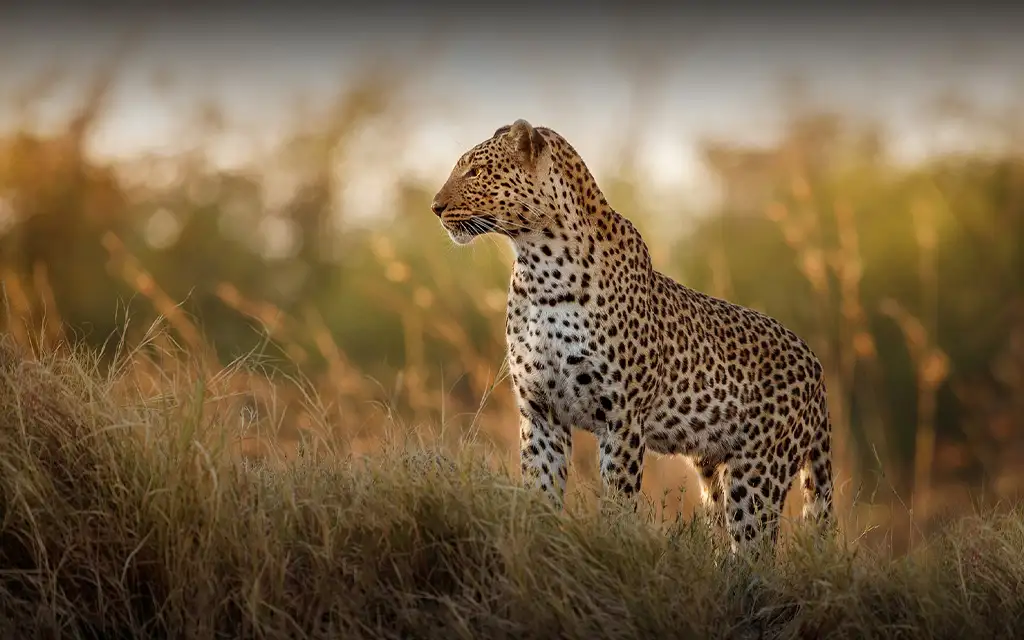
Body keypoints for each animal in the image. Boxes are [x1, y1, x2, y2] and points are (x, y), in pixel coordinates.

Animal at [428, 119, 835, 552]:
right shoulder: (541, 412)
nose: (435, 207)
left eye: (475, 172)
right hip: (713, 470)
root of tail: (815, 365)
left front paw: (611, 545)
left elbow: (618, 501)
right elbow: (541, 492)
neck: (540, 268)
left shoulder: (621, 417)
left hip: (758, 472)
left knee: (755, 550)